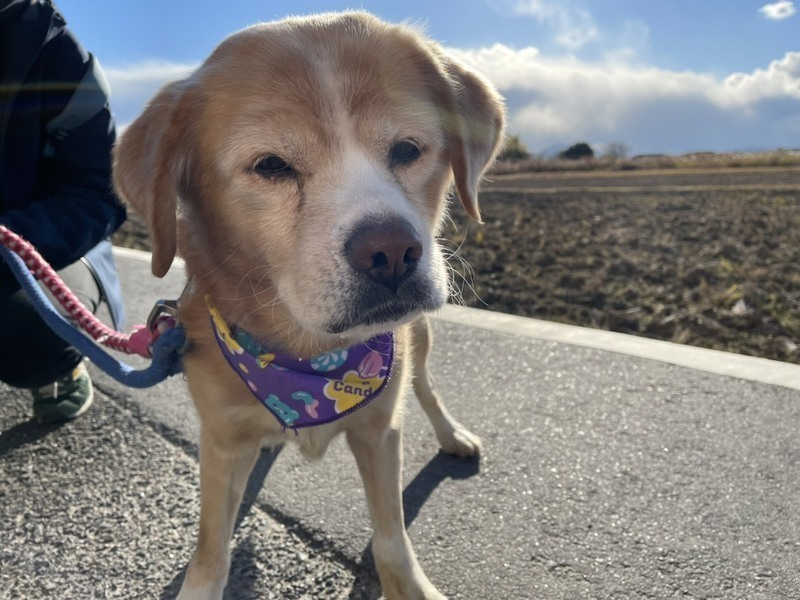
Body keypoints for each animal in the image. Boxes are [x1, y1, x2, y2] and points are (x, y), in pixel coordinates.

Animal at [113, 11, 504, 600]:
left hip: (419, 338)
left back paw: (450, 433)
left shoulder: (379, 431)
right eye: (272, 165)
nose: (391, 252)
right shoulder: (220, 443)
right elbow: (211, 550)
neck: (309, 358)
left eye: (407, 149)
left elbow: (391, 539)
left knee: (426, 387)